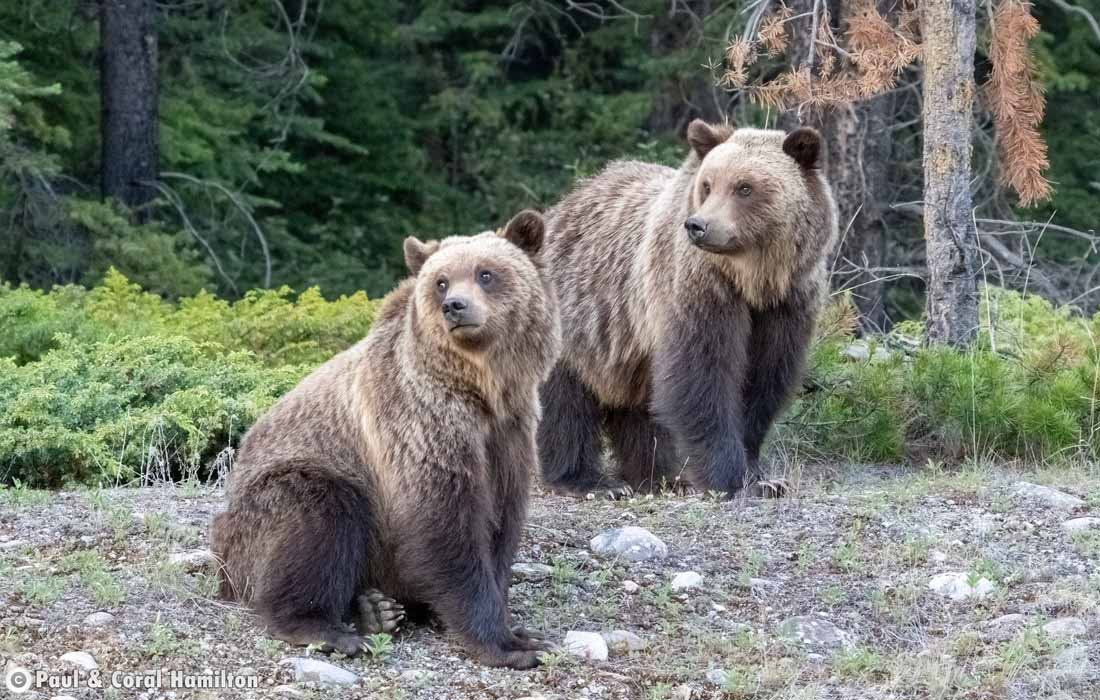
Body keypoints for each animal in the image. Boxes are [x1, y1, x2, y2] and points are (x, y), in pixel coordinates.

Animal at [210, 210, 563, 669]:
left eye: (485, 273)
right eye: (441, 281)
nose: (455, 306)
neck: (482, 389)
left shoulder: (509, 434)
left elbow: (502, 525)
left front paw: (517, 626)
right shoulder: (422, 422)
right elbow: (446, 524)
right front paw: (510, 643)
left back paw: (375, 609)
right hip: (274, 503)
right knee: (317, 516)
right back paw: (328, 629)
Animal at [539, 120, 831, 495]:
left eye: (745, 187)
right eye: (707, 184)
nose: (698, 226)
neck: (754, 281)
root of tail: (558, 209)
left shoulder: (787, 304)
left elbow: (764, 379)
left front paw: (760, 476)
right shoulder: (697, 289)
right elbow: (702, 375)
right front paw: (729, 477)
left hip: (625, 346)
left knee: (638, 407)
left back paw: (660, 475)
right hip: (577, 316)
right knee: (565, 404)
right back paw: (588, 481)